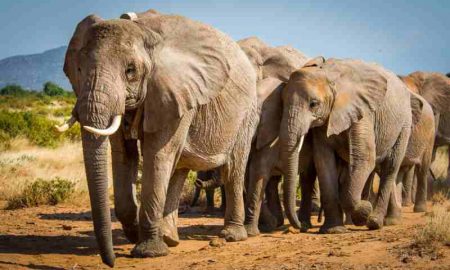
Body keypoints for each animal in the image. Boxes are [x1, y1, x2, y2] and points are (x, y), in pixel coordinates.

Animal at [58, 8, 258, 266]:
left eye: (130, 71)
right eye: (79, 70)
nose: (110, 261)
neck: (144, 32)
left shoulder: (176, 92)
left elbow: (157, 155)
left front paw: (148, 251)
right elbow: (123, 155)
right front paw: (135, 233)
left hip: (247, 113)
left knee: (233, 167)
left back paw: (231, 236)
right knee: (179, 167)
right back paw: (169, 238)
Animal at [282, 56, 418, 232]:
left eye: (313, 104)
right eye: (282, 102)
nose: (301, 227)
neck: (329, 75)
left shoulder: (363, 111)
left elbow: (365, 158)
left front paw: (364, 210)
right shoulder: (324, 121)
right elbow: (324, 162)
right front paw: (333, 230)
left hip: (404, 124)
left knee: (390, 167)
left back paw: (374, 222)